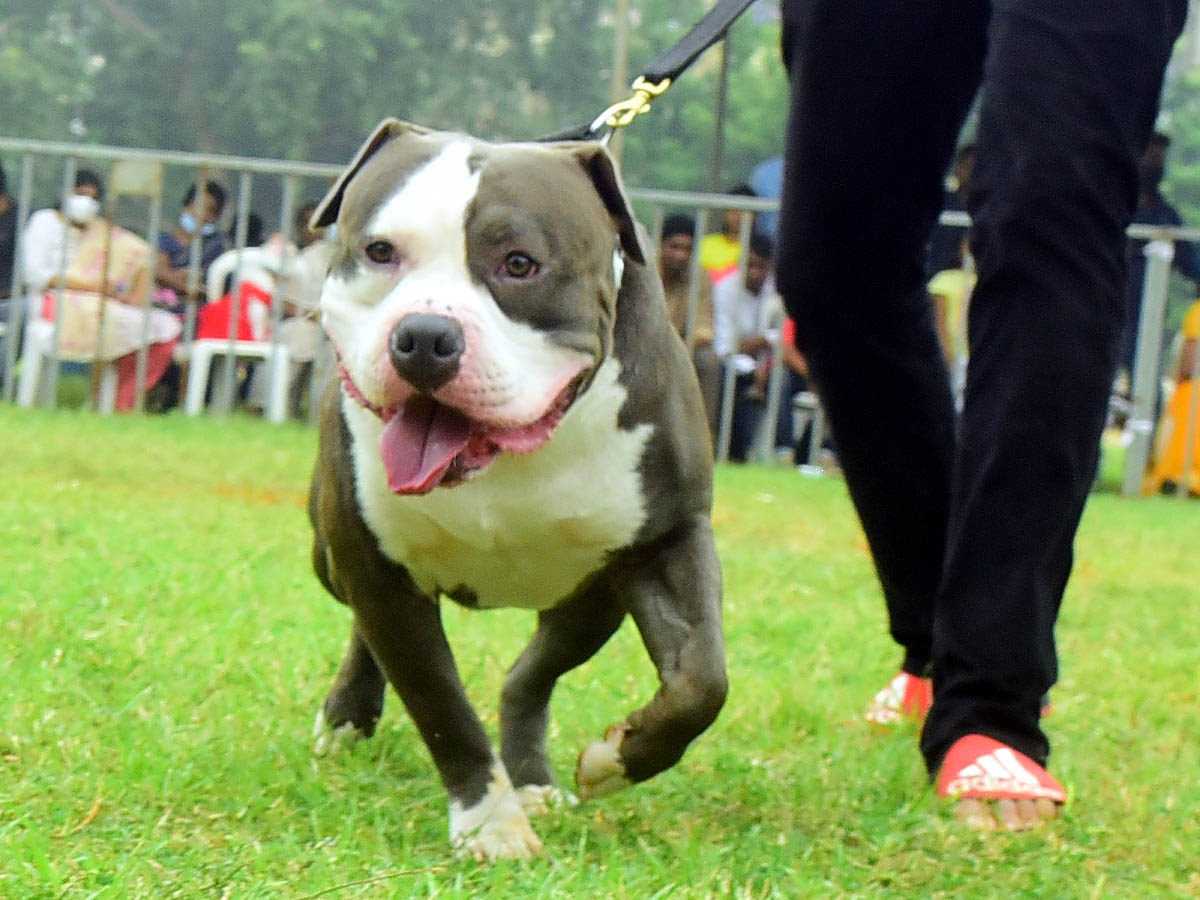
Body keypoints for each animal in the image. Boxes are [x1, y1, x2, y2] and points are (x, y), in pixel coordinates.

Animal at [304, 120, 724, 859]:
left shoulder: (668, 538)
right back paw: (350, 716)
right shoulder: (374, 564)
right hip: (328, 556)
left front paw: (617, 760)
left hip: (591, 600)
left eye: (520, 264)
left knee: (528, 677)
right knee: (366, 628)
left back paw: (533, 779)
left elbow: (703, 681)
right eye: (380, 252)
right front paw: (490, 825)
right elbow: (439, 704)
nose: (424, 336)